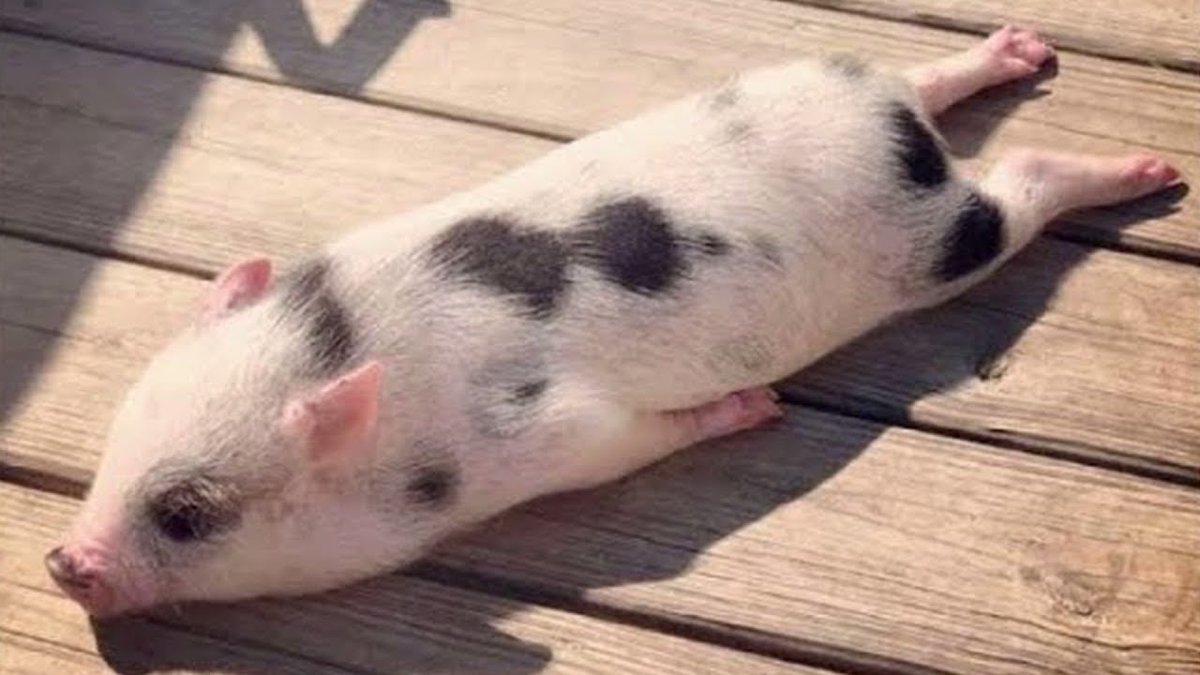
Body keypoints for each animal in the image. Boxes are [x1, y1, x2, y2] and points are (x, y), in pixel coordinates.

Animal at [47, 27, 1181, 617]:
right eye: (114, 444)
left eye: (188, 514)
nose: (63, 561)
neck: (346, 346)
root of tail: (900, 139)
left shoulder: (559, 437)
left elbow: (629, 440)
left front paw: (754, 410)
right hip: (832, 84)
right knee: (919, 70)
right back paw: (1018, 51)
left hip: (942, 242)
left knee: (1019, 181)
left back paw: (1155, 171)